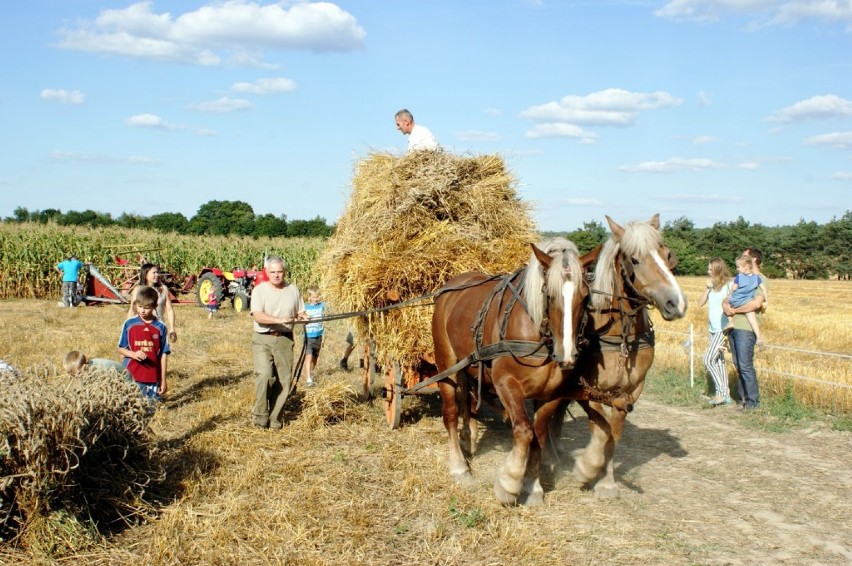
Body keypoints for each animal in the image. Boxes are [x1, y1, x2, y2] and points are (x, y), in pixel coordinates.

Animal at [432, 237, 592, 508]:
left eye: (585, 296)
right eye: (549, 295)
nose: (567, 356)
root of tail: (451, 286)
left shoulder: (551, 394)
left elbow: (539, 435)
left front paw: (533, 487)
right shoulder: (506, 384)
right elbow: (524, 431)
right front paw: (509, 482)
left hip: (467, 366)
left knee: (467, 402)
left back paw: (468, 438)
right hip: (446, 364)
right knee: (451, 413)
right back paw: (459, 467)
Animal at [544, 215, 688, 500]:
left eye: (667, 254)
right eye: (634, 259)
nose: (676, 304)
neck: (620, 335)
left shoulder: (630, 392)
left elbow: (615, 434)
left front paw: (607, 480)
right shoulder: (589, 390)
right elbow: (601, 431)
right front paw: (588, 468)